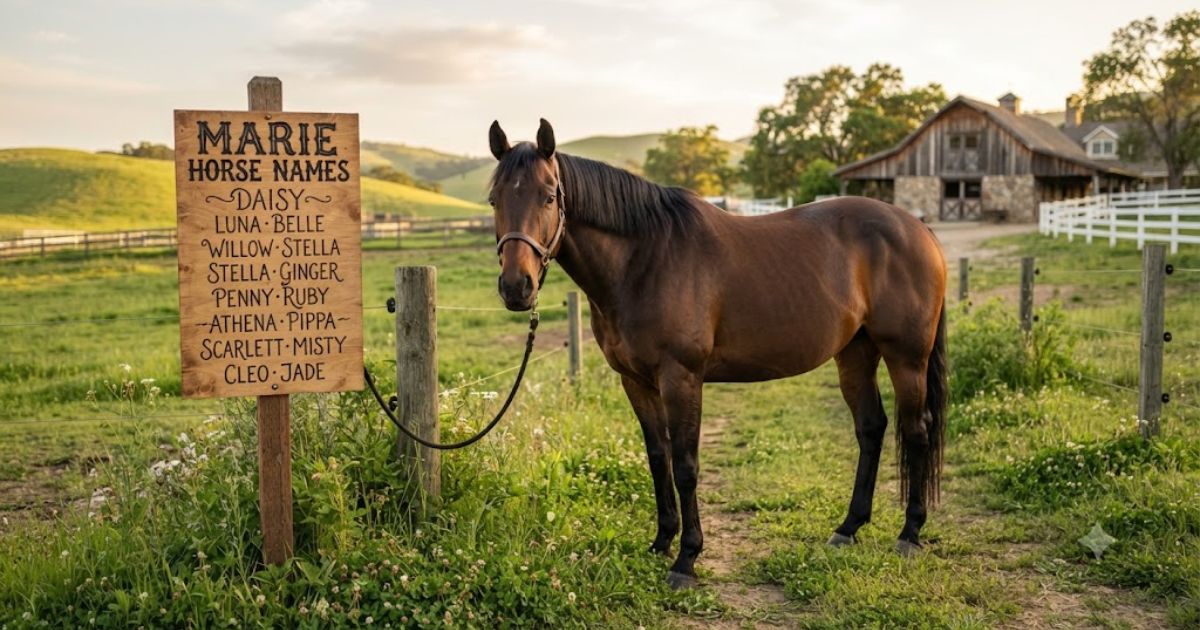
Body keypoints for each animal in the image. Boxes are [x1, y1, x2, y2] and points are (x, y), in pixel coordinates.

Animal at [486, 119, 948, 589]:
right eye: (494, 199)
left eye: (548, 196)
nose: (516, 287)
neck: (645, 260)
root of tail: (918, 228)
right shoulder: (635, 382)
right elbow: (659, 458)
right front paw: (661, 541)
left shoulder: (681, 378)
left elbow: (686, 465)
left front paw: (686, 559)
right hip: (855, 354)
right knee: (871, 429)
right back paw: (848, 528)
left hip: (907, 358)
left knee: (916, 431)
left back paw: (910, 533)